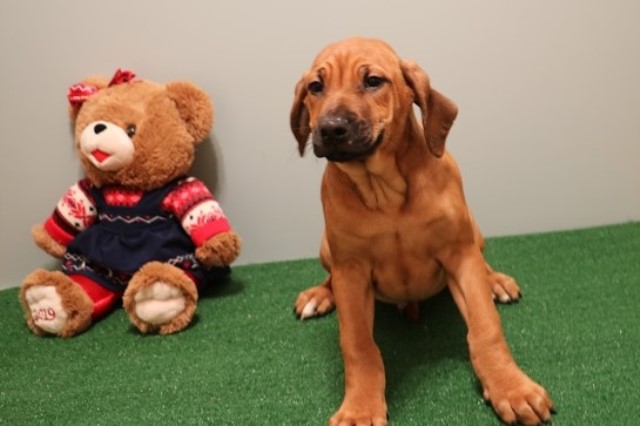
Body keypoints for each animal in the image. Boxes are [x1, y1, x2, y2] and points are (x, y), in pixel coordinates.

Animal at [292, 37, 556, 426]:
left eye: (373, 81)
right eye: (315, 87)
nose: (330, 129)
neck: (385, 192)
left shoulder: (459, 254)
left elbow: (486, 327)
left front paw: (510, 387)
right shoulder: (351, 270)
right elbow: (358, 345)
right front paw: (360, 407)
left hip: (474, 231)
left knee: (483, 261)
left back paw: (496, 281)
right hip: (328, 249)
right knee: (331, 278)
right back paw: (320, 294)